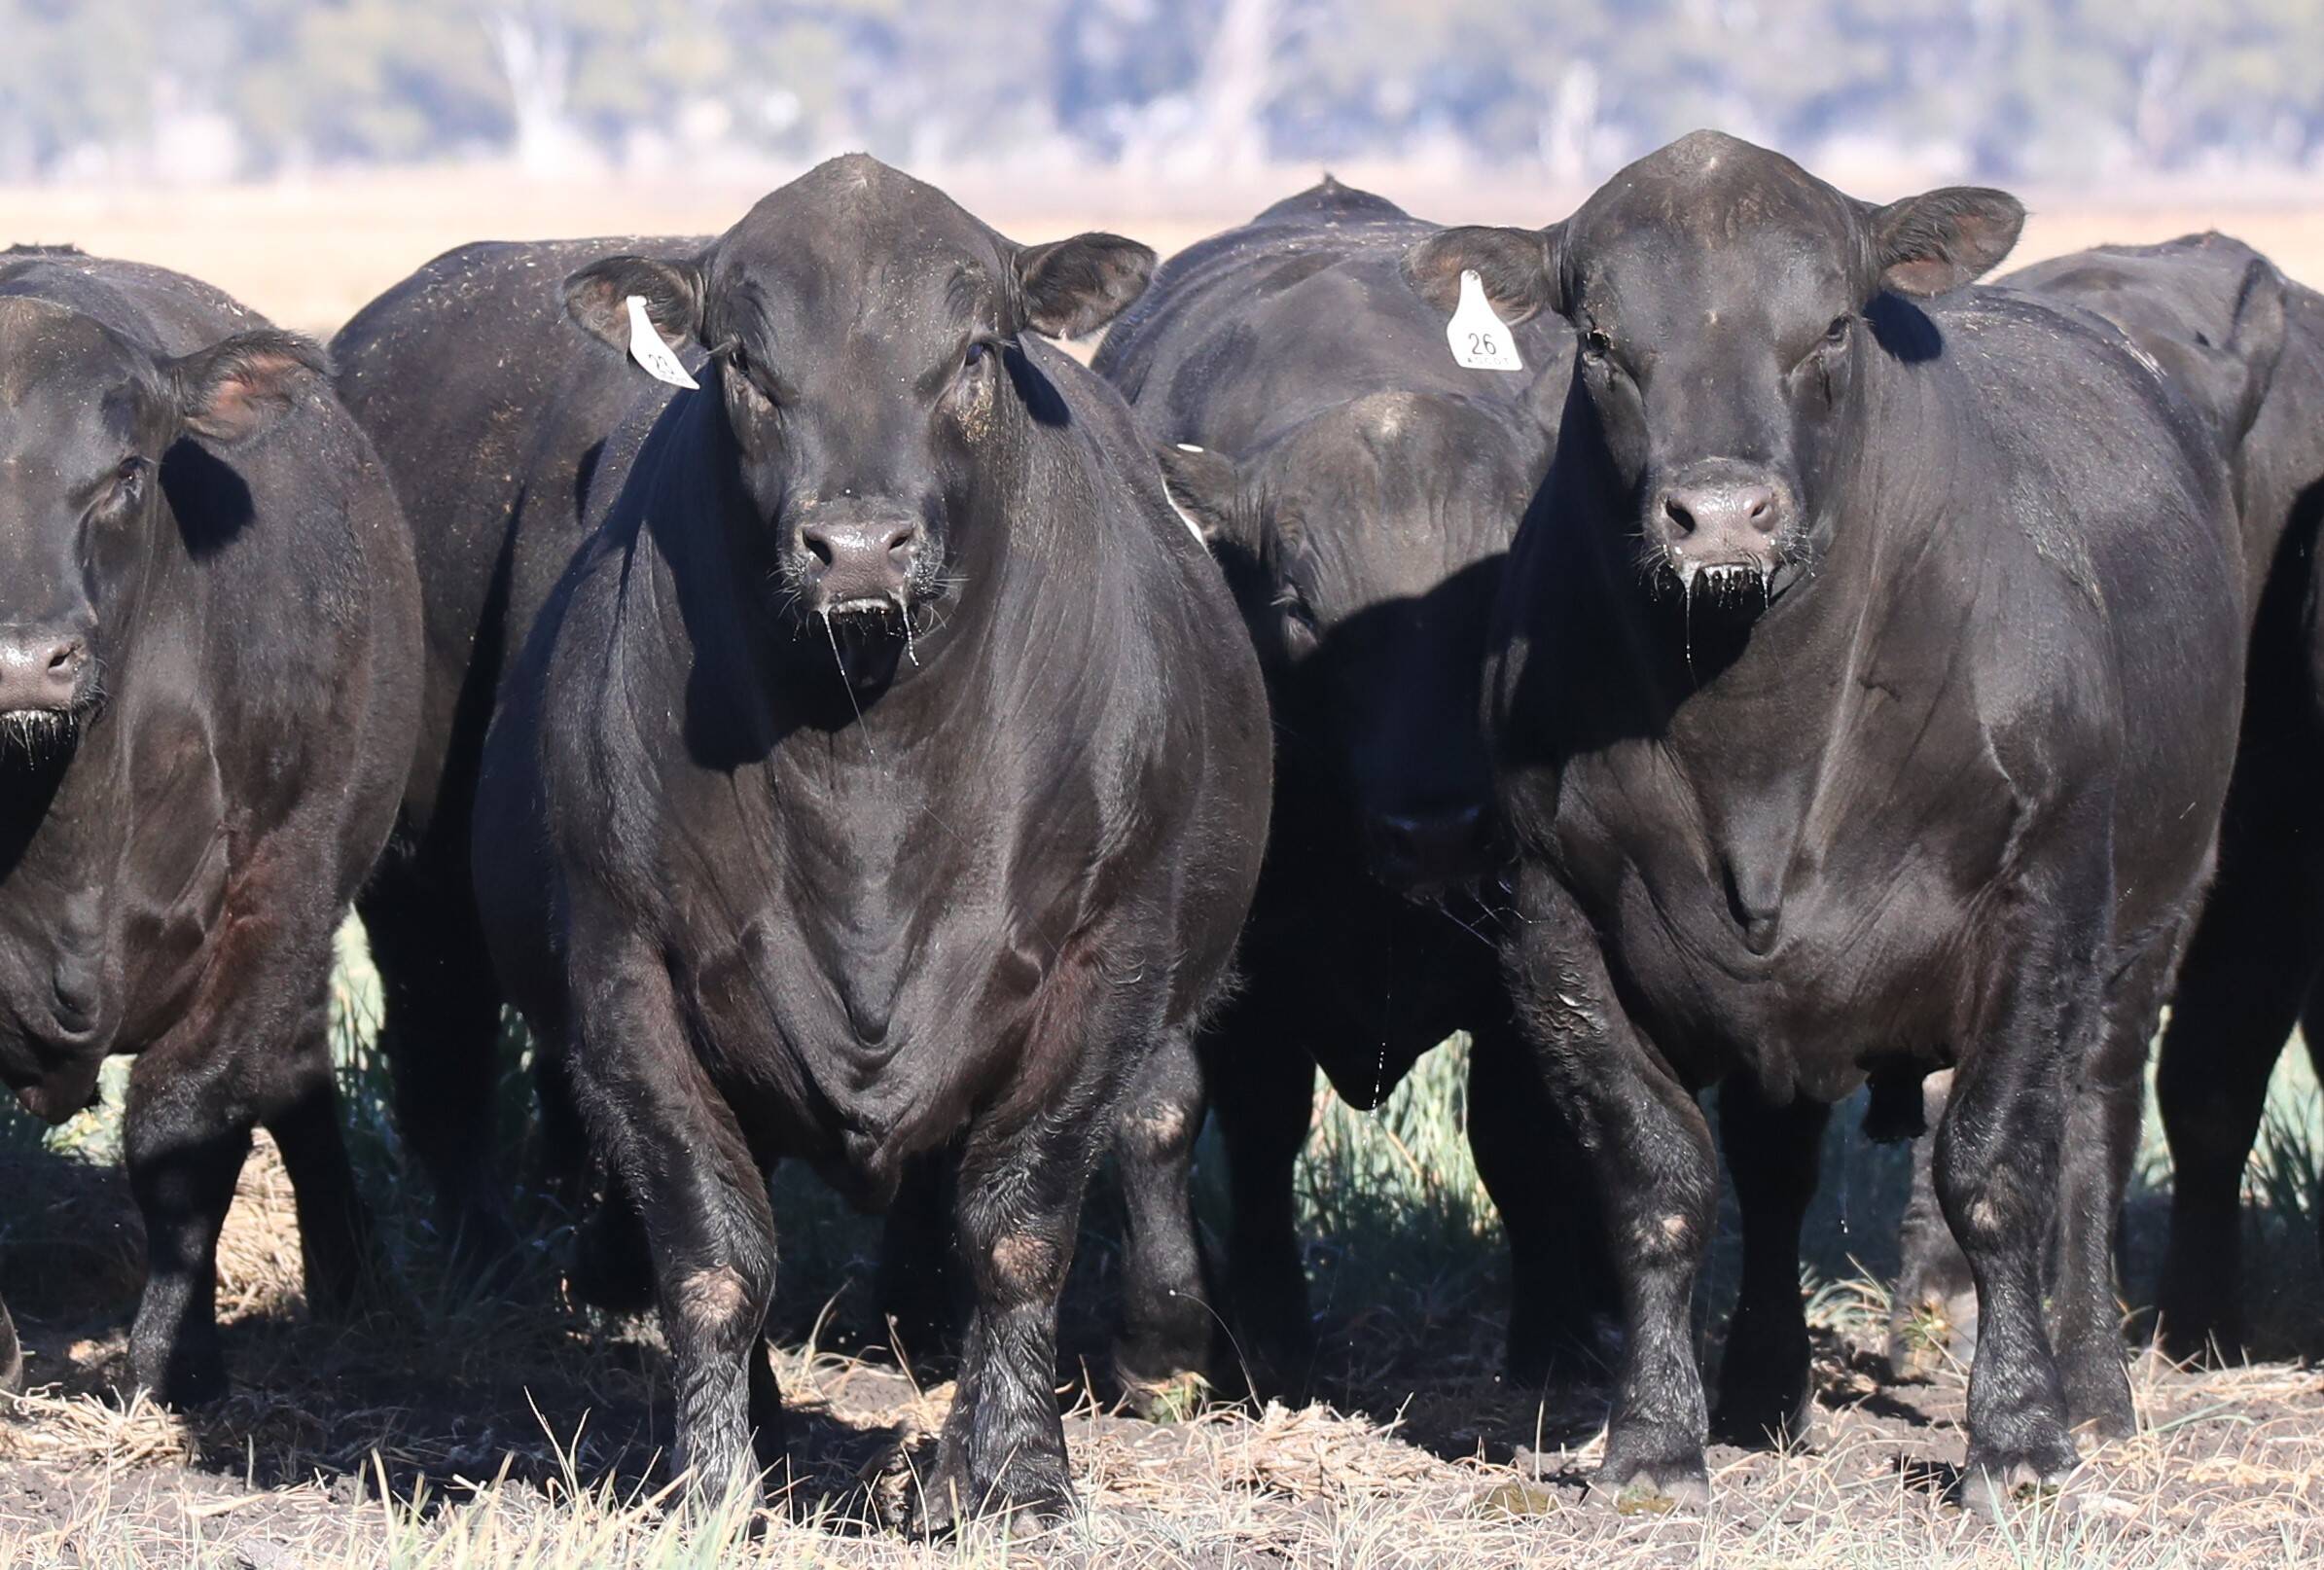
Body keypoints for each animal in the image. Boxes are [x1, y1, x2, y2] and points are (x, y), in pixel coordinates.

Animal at [0, 246, 420, 1404]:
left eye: (127, 474)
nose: (26, 657)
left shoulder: (276, 888)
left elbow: (184, 1131)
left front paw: (173, 1359)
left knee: (292, 1070)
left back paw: (358, 1285)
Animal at [416, 156, 1270, 1524]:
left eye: (974, 351)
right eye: (744, 363)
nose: (858, 546)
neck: (867, 772)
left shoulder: (1109, 960)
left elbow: (1018, 1225)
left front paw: (1013, 1474)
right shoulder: (624, 973)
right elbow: (714, 1249)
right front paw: (712, 1483)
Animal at [1060, 176, 1603, 1398]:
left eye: (1488, 589)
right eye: (1300, 603)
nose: (1434, 830)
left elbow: (1519, 1133)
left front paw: (1552, 1340)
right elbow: (1165, 1113)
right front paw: (1169, 1339)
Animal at [1405, 132, 2247, 1515]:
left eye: (1833, 326)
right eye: (1599, 338)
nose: (1720, 513)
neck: (1760, 745)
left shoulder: (2044, 896)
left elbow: (1997, 1168)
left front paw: (2016, 1440)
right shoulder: (1551, 921)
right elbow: (1658, 1178)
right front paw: (1654, 1444)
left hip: (2149, 921)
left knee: (2092, 1122)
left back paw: (2092, 1382)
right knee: (1774, 1160)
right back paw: (1762, 1390)